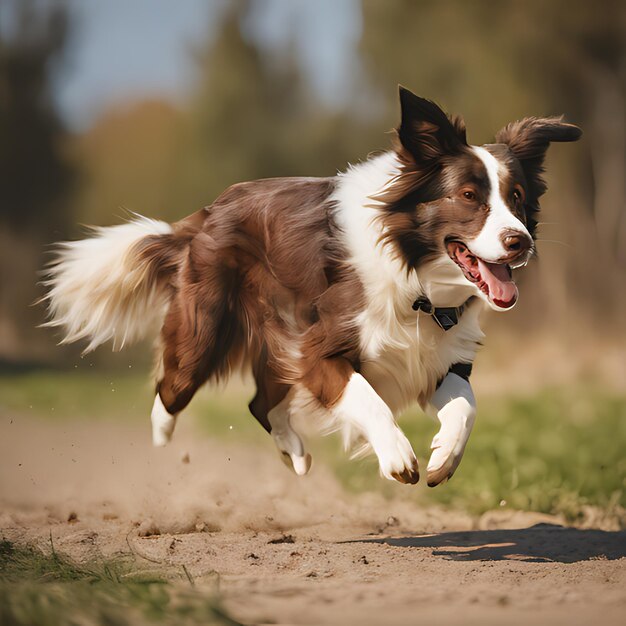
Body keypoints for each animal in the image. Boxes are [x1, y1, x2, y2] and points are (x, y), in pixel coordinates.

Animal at [44, 88, 580, 486]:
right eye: (468, 196)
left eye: (517, 197)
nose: (520, 242)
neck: (415, 279)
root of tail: (205, 216)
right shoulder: (321, 347)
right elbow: (367, 397)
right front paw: (397, 455)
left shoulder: (435, 356)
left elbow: (467, 406)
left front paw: (443, 456)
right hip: (207, 333)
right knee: (172, 387)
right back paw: (162, 435)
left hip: (277, 345)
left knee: (259, 402)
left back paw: (296, 454)